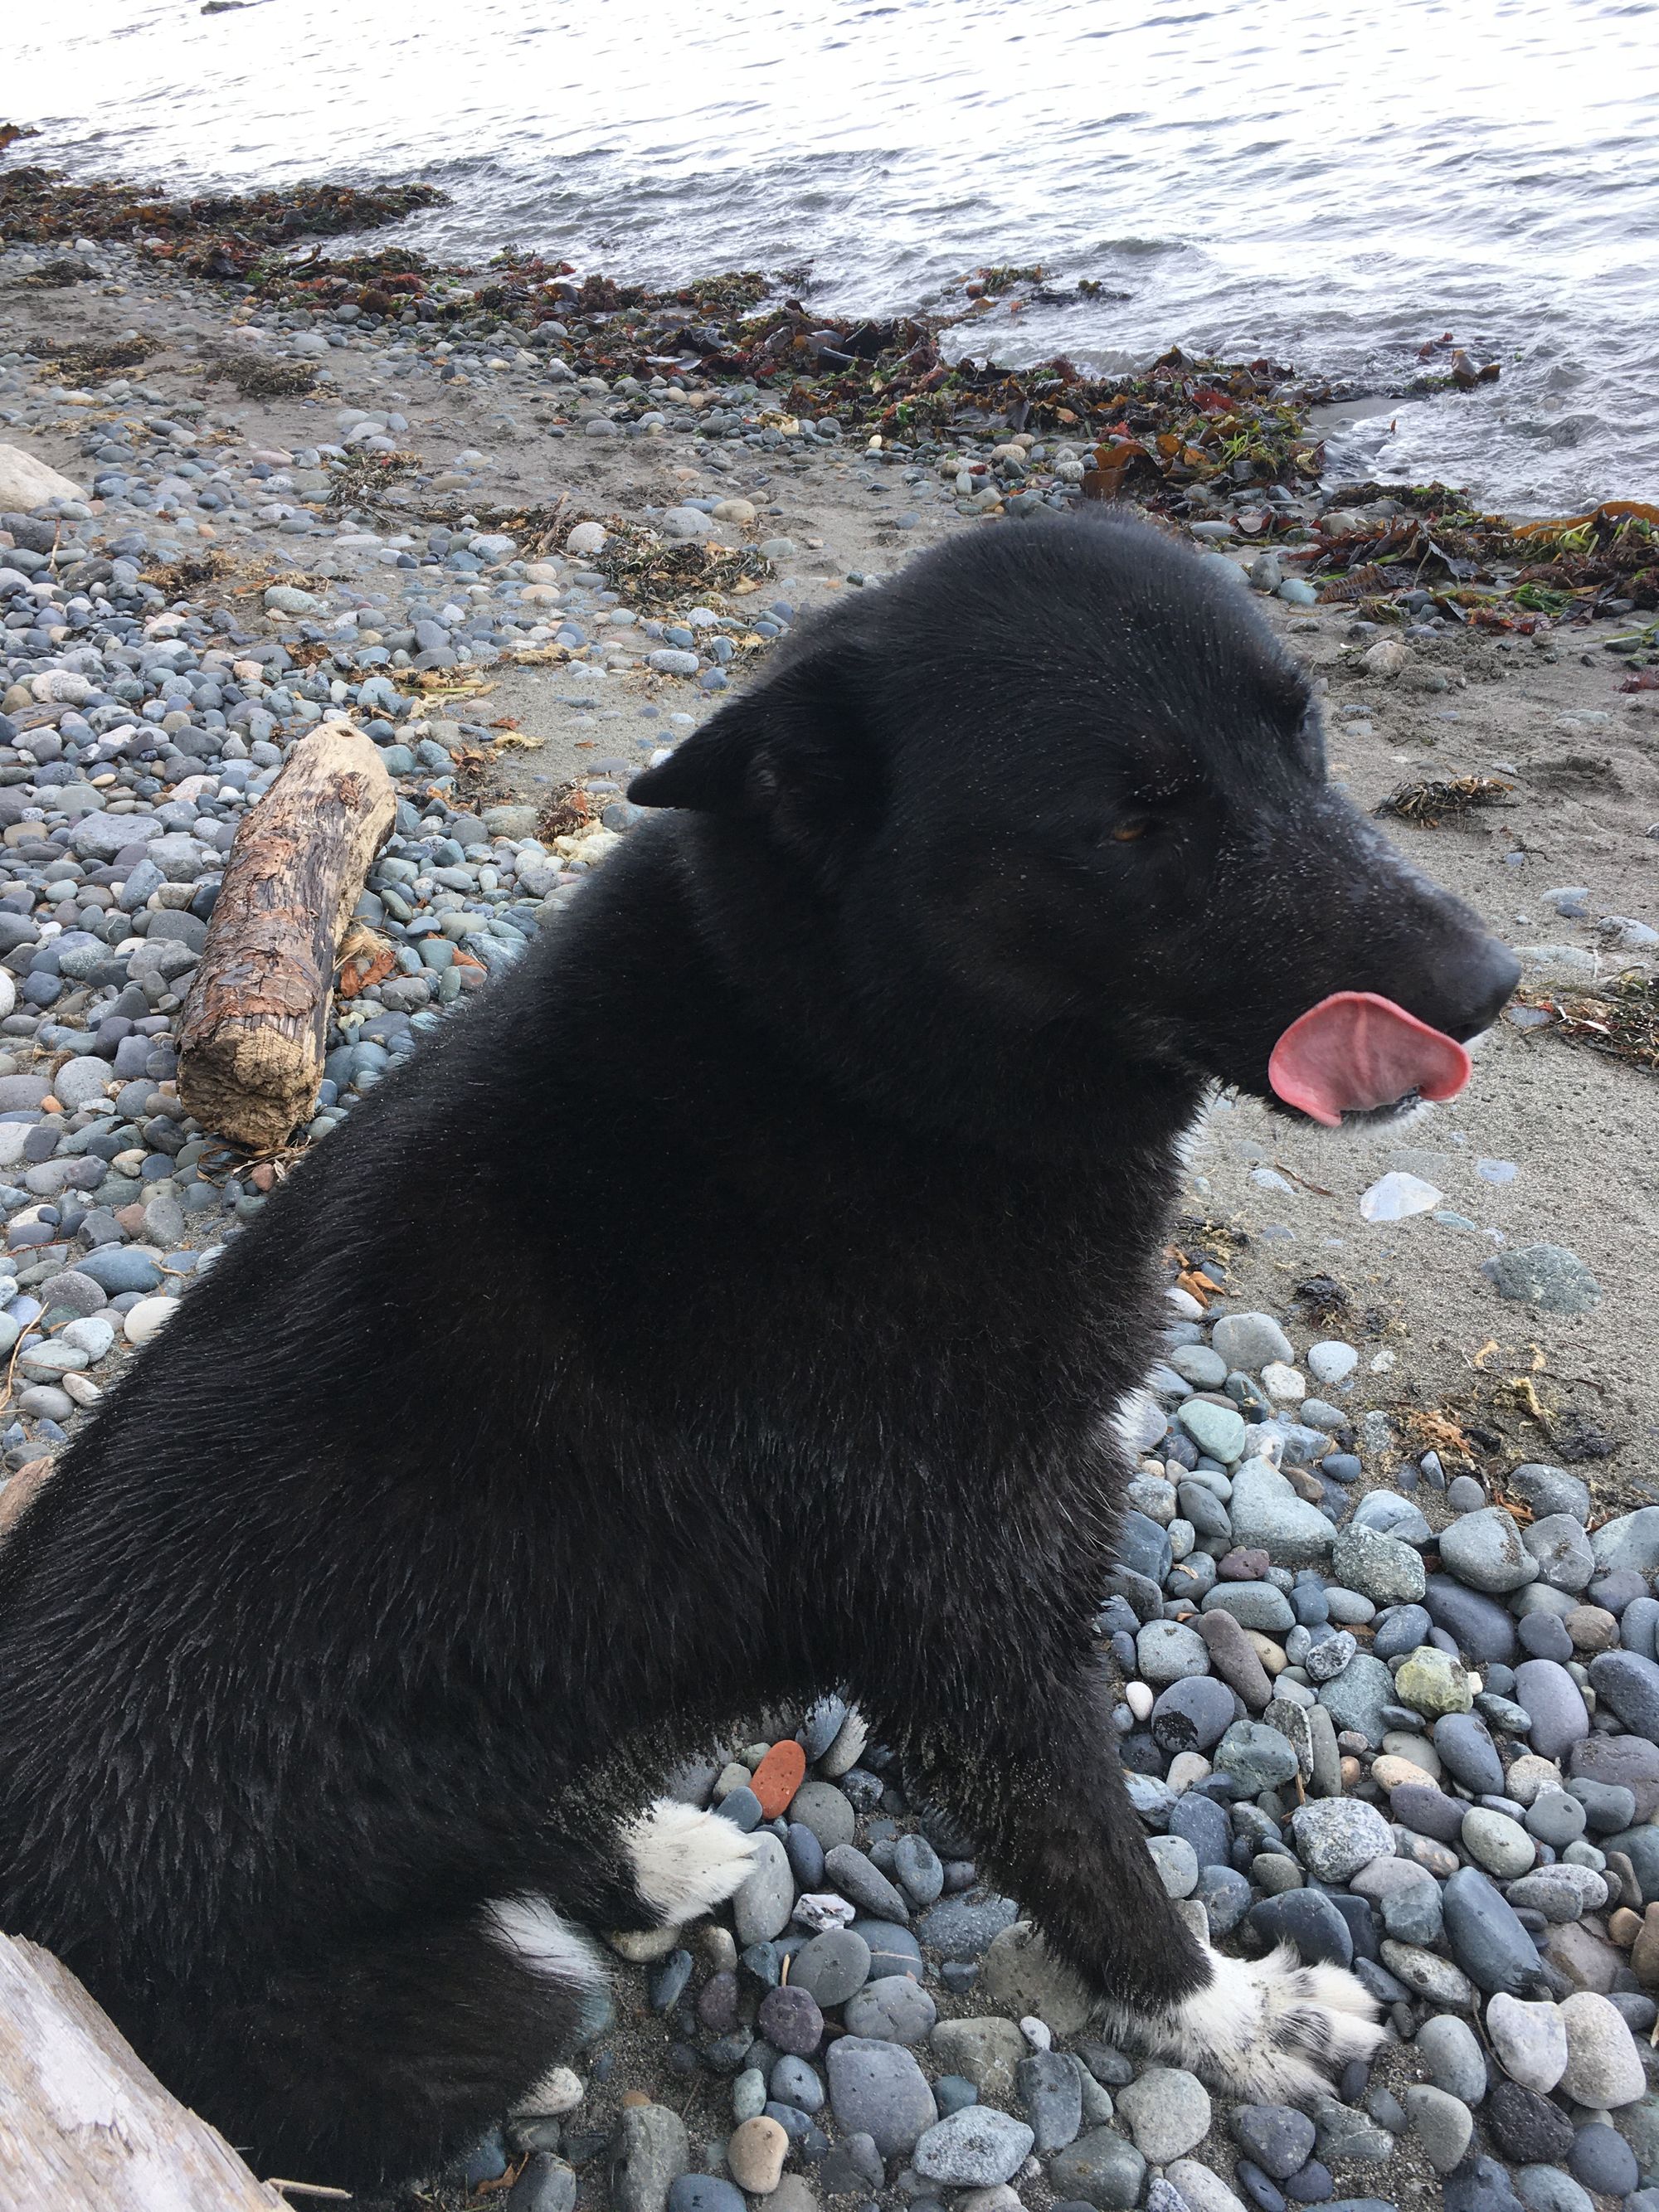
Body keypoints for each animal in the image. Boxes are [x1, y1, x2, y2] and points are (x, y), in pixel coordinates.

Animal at [0, 508, 1521, 2185]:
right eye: (1131, 821)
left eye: (1303, 733)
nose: (1486, 989)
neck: (846, 1058)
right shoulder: (984, 1631)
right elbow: (1107, 1872)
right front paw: (1239, 2019)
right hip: (470, 1994)